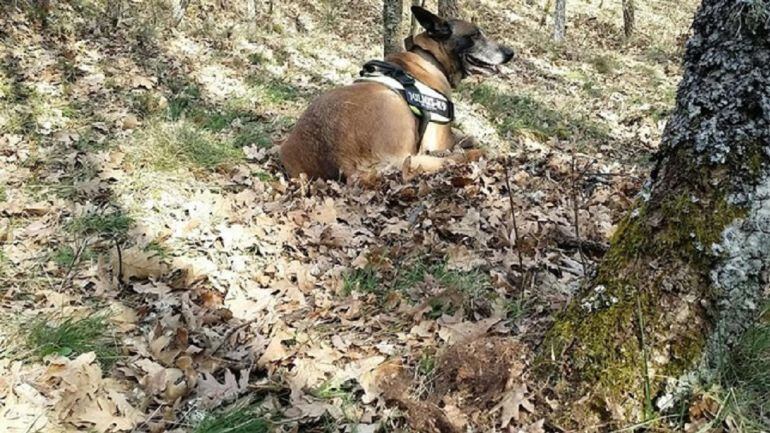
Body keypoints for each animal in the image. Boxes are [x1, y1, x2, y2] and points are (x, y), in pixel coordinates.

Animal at [280, 6, 512, 179]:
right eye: (475, 35)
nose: (510, 53)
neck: (430, 57)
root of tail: (340, 158)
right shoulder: (440, 137)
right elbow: (462, 137)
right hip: (394, 104)